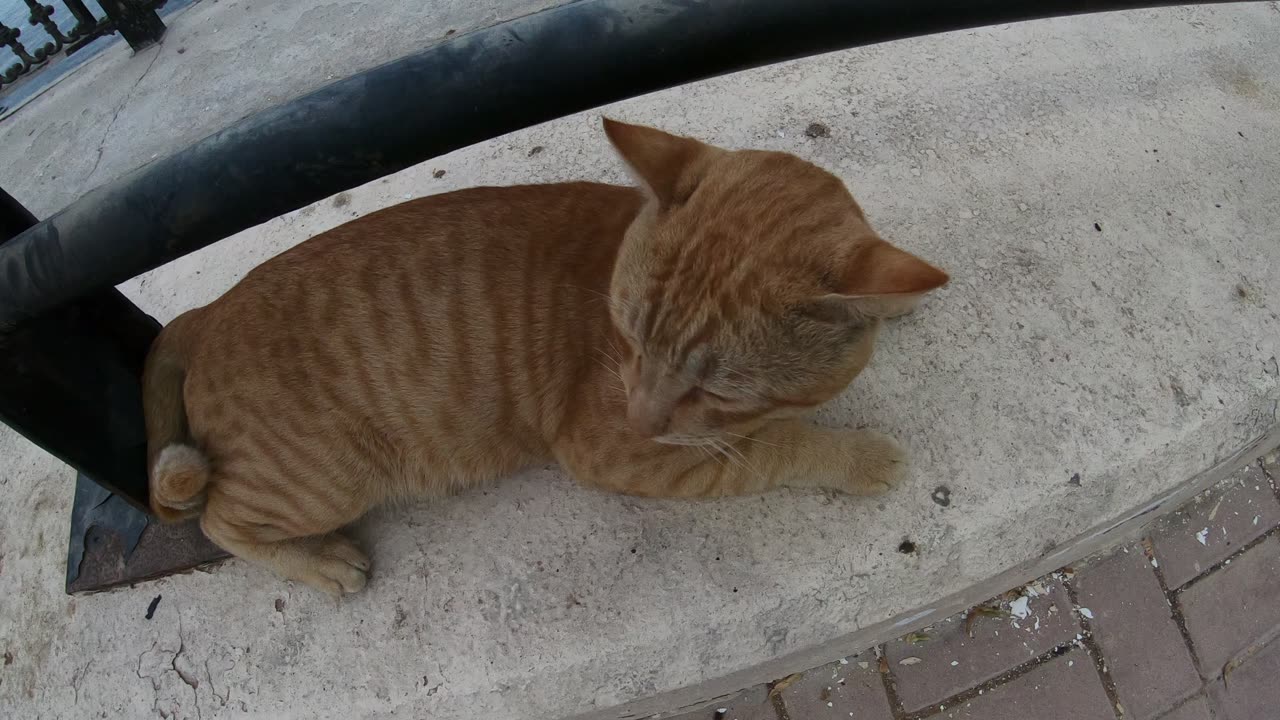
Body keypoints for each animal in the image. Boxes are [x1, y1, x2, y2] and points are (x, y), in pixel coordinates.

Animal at [147, 117, 952, 591]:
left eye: (718, 388)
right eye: (628, 338)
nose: (641, 417)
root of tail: (210, 310)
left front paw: (900, 301)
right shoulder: (619, 453)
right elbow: (778, 448)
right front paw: (857, 455)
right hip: (322, 481)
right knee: (218, 520)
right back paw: (317, 562)